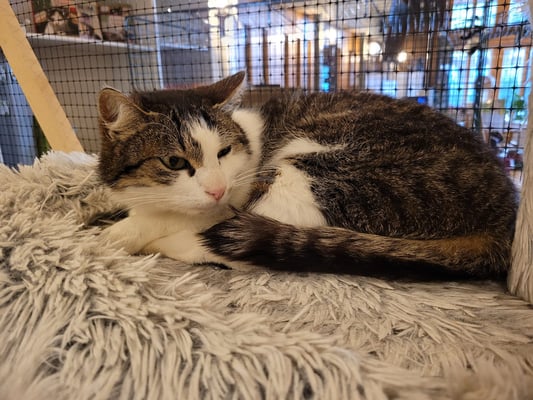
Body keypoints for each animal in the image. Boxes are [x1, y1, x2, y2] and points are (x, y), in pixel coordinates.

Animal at [97, 71, 517, 279]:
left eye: (223, 153)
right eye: (174, 162)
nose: (217, 189)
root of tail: (504, 215)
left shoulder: (235, 197)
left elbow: (168, 217)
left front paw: (120, 233)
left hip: (322, 172)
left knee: (246, 246)